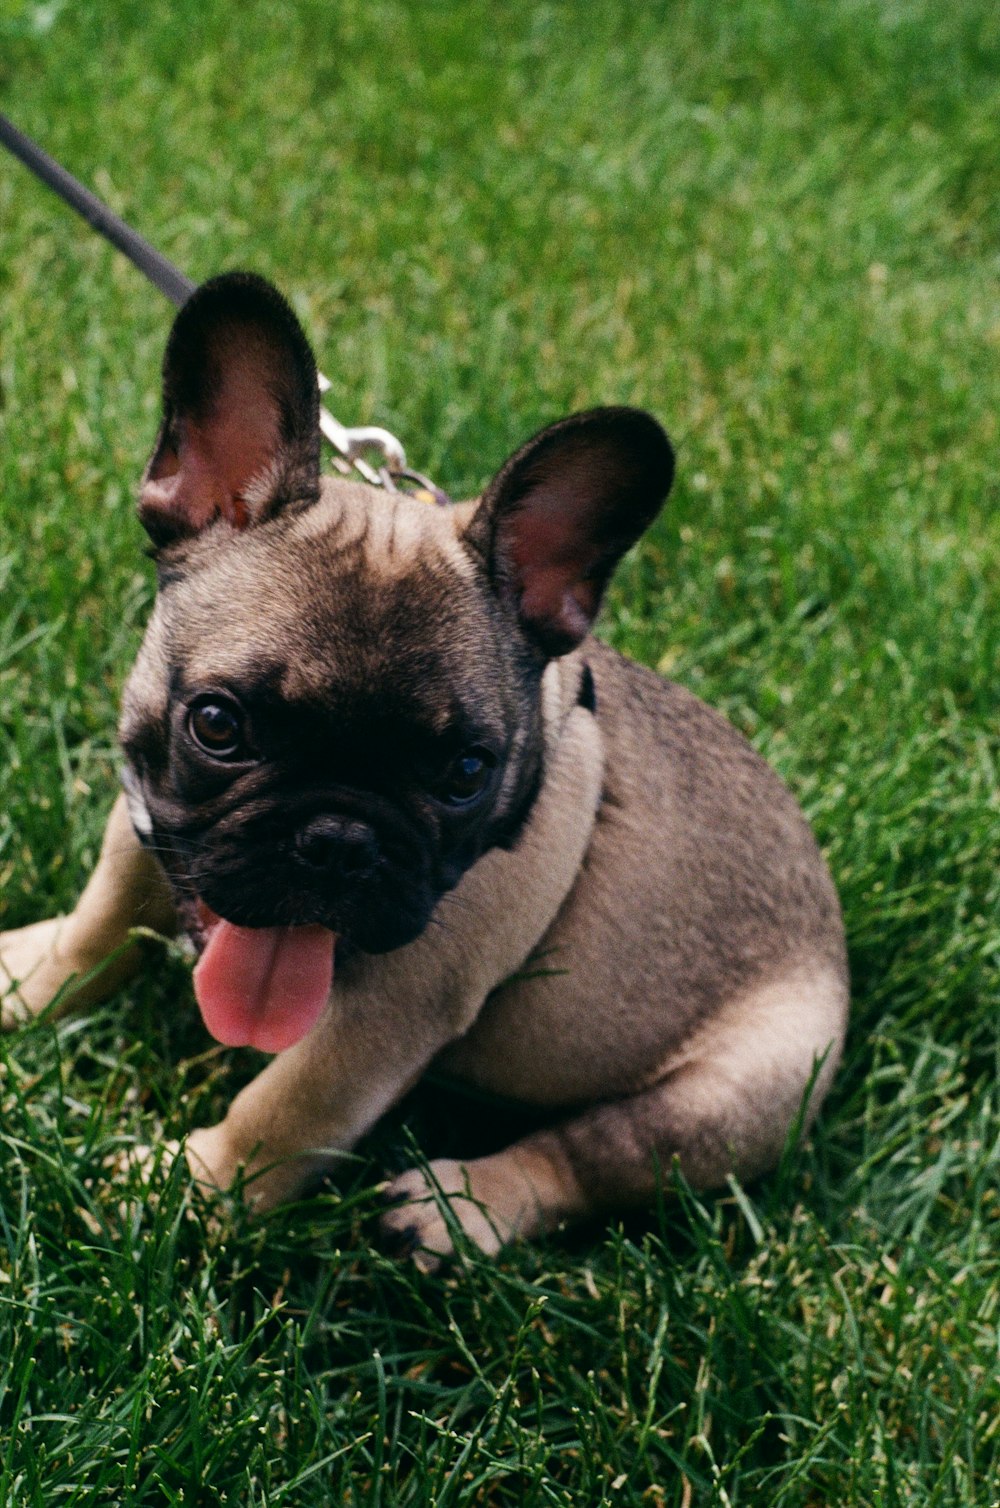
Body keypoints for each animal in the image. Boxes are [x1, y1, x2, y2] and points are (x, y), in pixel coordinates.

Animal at [0, 277, 850, 1266]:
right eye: (218, 725)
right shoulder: (144, 825)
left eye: (465, 774)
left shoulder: (386, 1016)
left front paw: (186, 1192)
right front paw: (31, 982)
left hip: (727, 1098)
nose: (338, 837)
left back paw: (459, 1208)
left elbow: (282, 1111)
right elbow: (97, 927)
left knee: (589, 1156)